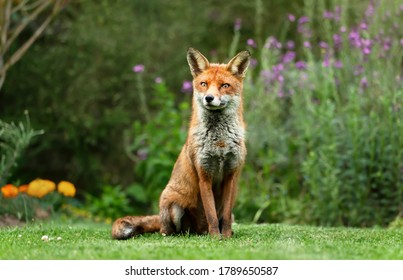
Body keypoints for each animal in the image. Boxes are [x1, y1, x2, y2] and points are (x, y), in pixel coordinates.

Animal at [112, 47, 251, 238]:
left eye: (224, 86)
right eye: (204, 84)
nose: (209, 98)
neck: (219, 143)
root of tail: (198, 230)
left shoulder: (231, 175)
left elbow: (226, 218)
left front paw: (227, 236)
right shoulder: (204, 175)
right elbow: (211, 214)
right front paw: (216, 238)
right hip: (173, 207)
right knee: (167, 230)